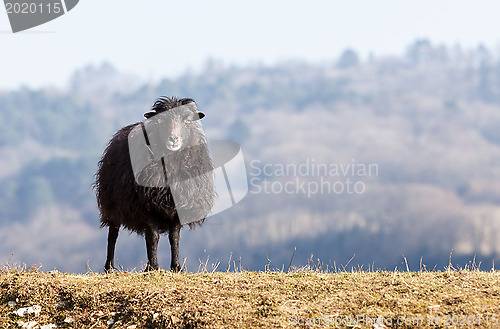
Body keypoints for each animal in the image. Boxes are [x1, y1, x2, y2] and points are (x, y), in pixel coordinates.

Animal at [95, 96, 215, 270]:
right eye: (160, 120)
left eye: (187, 120)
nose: (173, 139)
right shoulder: (146, 206)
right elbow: (153, 237)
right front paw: (153, 267)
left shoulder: (179, 205)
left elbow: (174, 237)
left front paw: (176, 267)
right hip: (112, 203)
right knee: (113, 234)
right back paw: (109, 267)